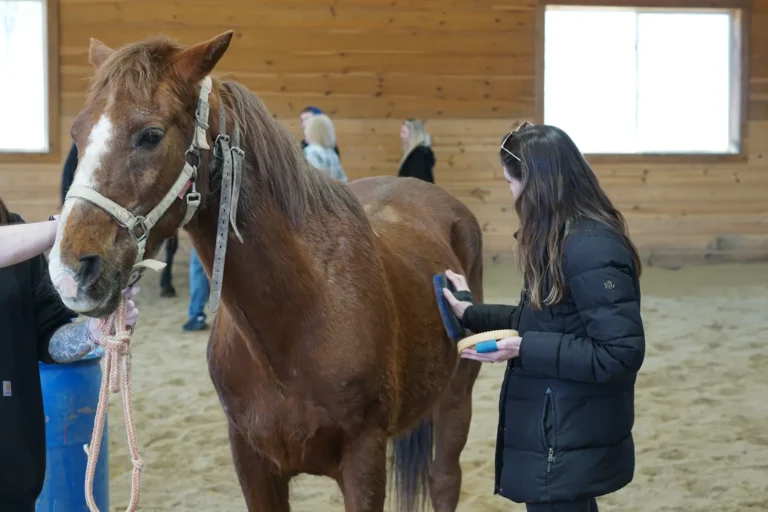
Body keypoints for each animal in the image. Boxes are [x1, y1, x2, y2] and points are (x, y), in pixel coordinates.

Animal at [49, 30, 485, 512]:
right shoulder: (252, 462)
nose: (70, 271)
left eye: (150, 135)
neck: (300, 317)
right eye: (77, 132)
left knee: (444, 479)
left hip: (456, 400)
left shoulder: (365, 460)